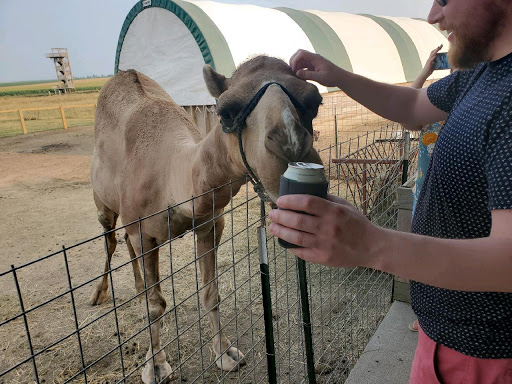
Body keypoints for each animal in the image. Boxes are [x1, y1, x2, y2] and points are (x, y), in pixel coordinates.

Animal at [91, 55, 324, 382]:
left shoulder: (210, 223)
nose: (291, 147)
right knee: (111, 239)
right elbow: (155, 305)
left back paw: (136, 288)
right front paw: (156, 365)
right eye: (224, 112)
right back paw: (99, 294)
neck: (171, 179)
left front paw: (225, 353)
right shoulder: (144, 233)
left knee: (123, 241)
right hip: (103, 203)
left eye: (314, 102)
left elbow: (210, 293)